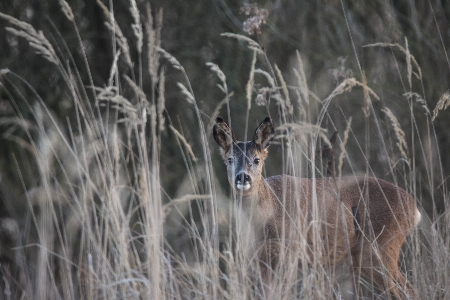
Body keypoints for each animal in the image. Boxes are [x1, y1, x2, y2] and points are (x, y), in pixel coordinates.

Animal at [213, 116, 420, 298]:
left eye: (256, 160)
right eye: (230, 159)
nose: (243, 177)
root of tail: (414, 209)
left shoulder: (289, 252)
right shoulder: (260, 259)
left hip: (381, 249)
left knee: (408, 290)